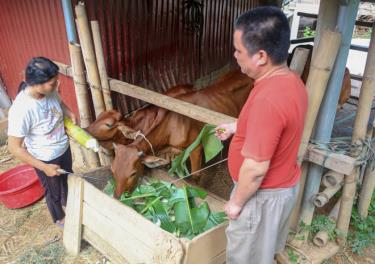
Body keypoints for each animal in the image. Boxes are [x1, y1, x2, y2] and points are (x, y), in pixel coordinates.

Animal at [110, 70, 254, 198]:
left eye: (133, 173)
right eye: (112, 169)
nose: (117, 197)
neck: (170, 127)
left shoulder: (196, 148)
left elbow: (195, 176)